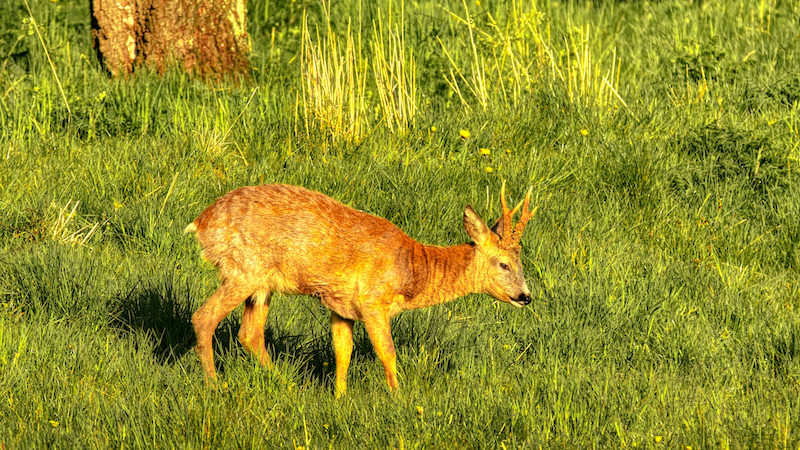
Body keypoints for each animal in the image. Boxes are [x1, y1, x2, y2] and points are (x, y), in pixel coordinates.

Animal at [185, 181, 536, 396]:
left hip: (261, 284)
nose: (526, 296)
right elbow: (387, 351)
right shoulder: (373, 301)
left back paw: (285, 384)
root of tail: (200, 222)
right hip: (243, 270)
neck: (413, 268)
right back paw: (214, 386)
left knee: (249, 333)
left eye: (520, 261)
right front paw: (399, 398)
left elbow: (343, 352)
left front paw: (339, 397)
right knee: (203, 317)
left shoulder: (341, 306)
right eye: (504, 264)